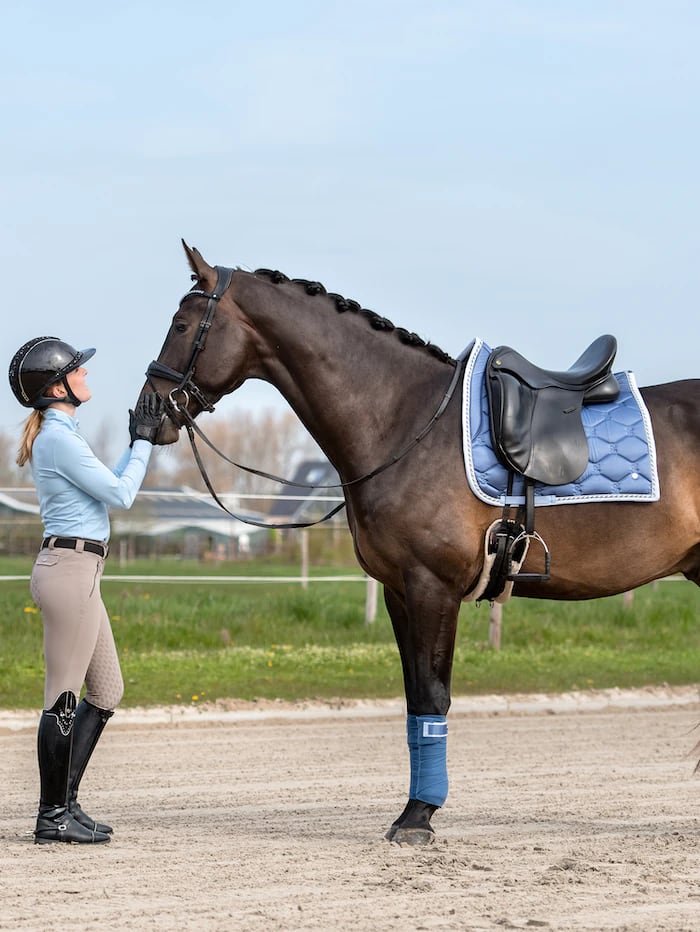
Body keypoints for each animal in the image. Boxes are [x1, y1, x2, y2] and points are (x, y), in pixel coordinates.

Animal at [139, 242, 700, 844]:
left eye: (181, 325)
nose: (144, 416)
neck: (404, 424)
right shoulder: (399, 591)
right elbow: (413, 701)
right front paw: (413, 810)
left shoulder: (434, 587)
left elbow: (433, 696)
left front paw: (418, 817)